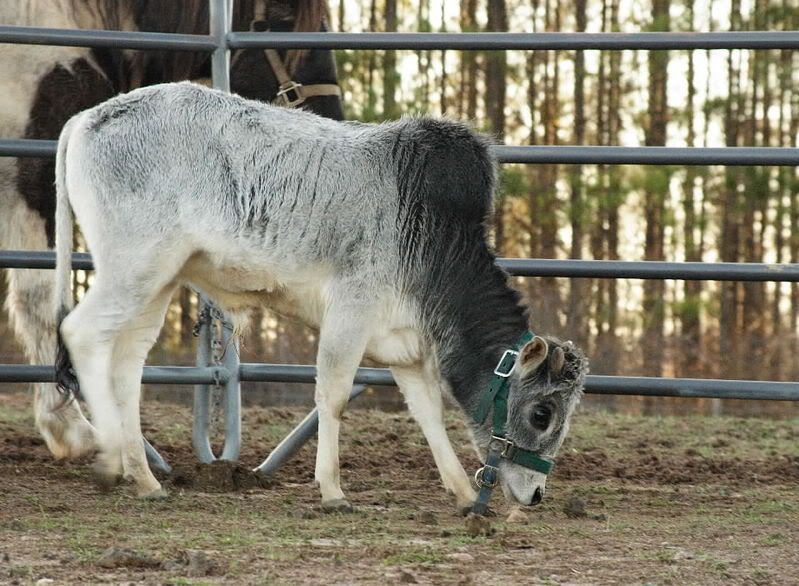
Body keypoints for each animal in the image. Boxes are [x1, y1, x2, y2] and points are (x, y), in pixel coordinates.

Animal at [53, 82, 587, 512]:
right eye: (542, 414)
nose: (537, 495)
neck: (433, 234)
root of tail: (89, 117)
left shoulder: (407, 346)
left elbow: (429, 414)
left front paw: (460, 491)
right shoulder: (350, 314)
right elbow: (333, 398)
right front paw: (332, 489)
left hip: (157, 283)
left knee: (126, 368)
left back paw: (145, 478)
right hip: (134, 268)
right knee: (80, 334)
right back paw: (109, 459)